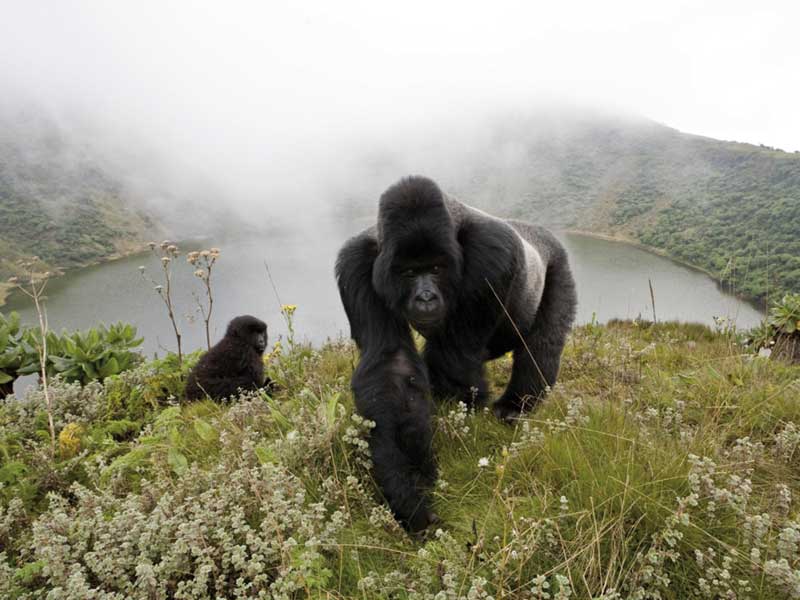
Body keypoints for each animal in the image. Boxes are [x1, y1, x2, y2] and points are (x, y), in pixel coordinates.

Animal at [334, 176, 580, 532]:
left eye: (436, 268)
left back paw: (514, 407)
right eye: (409, 272)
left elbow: (453, 362)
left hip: (558, 261)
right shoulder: (358, 263)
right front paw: (409, 490)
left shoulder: (491, 252)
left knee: (542, 345)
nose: (425, 298)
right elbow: (391, 366)